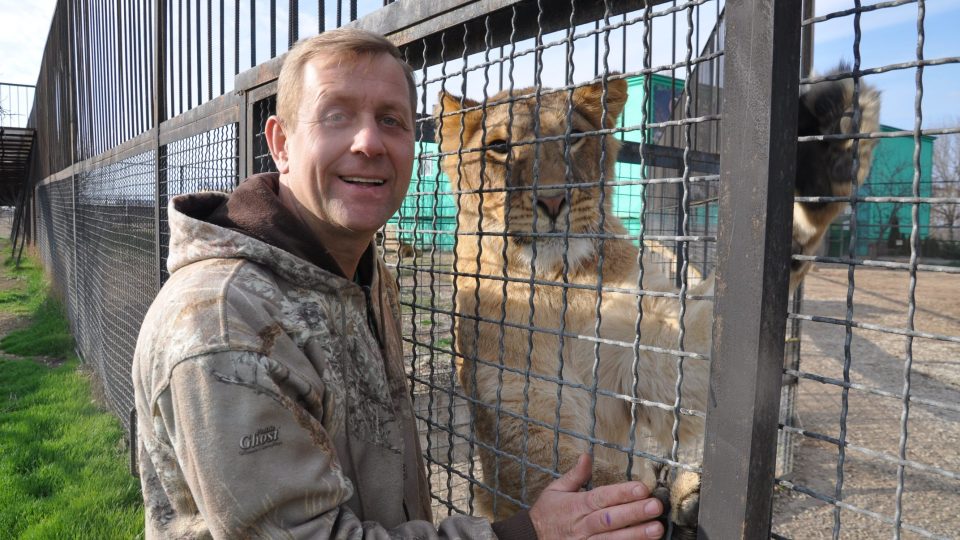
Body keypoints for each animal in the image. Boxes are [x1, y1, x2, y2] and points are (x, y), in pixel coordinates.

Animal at [436, 68, 876, 532]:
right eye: (499, 147)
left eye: (574, 137)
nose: (555, 199)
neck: (558, 281)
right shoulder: (513, 396)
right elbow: (564, 472)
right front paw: (622, 511)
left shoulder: (646, 351)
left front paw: (825, 158)